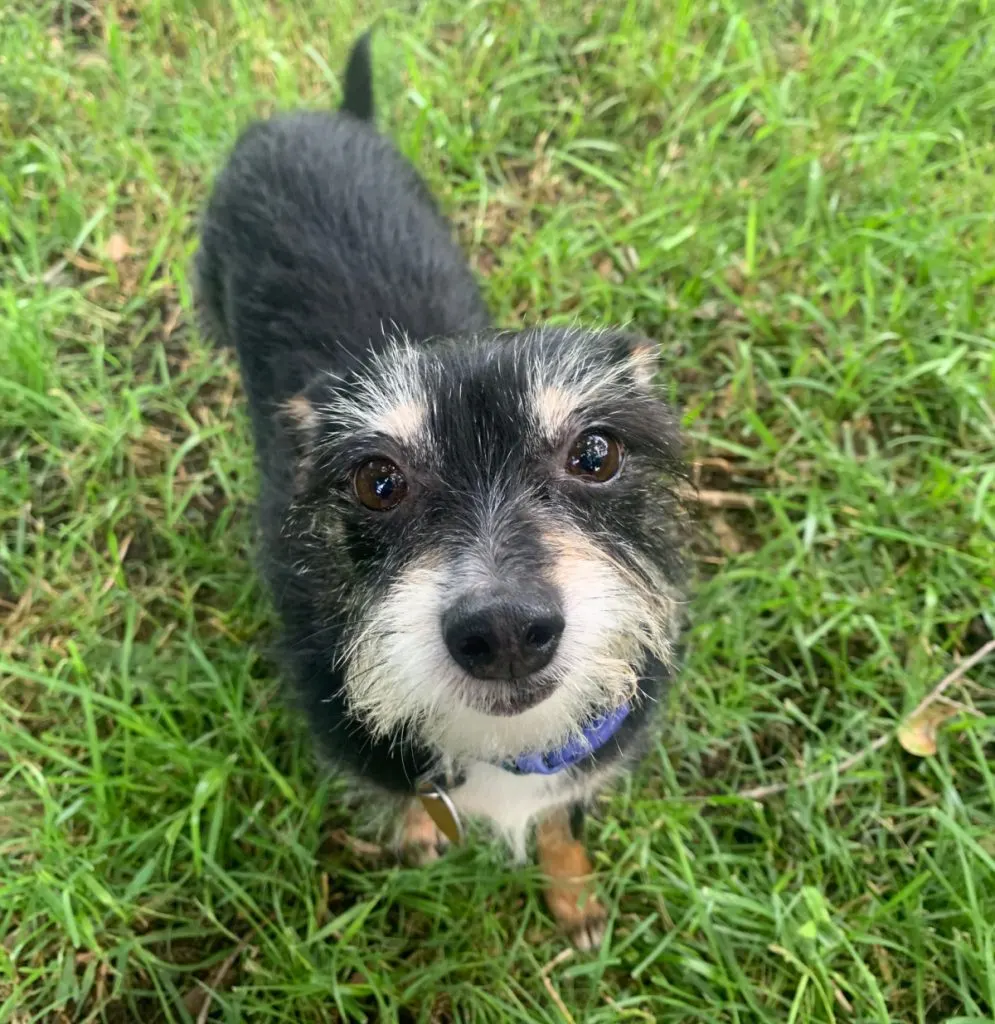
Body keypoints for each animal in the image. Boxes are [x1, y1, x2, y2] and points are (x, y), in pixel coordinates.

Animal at [197, 29, 687, 942]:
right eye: (376, 480)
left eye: (595, 455)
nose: (504, 631)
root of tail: (314, 116)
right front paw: (422, 833)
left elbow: (562, 822)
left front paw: (575, 900)